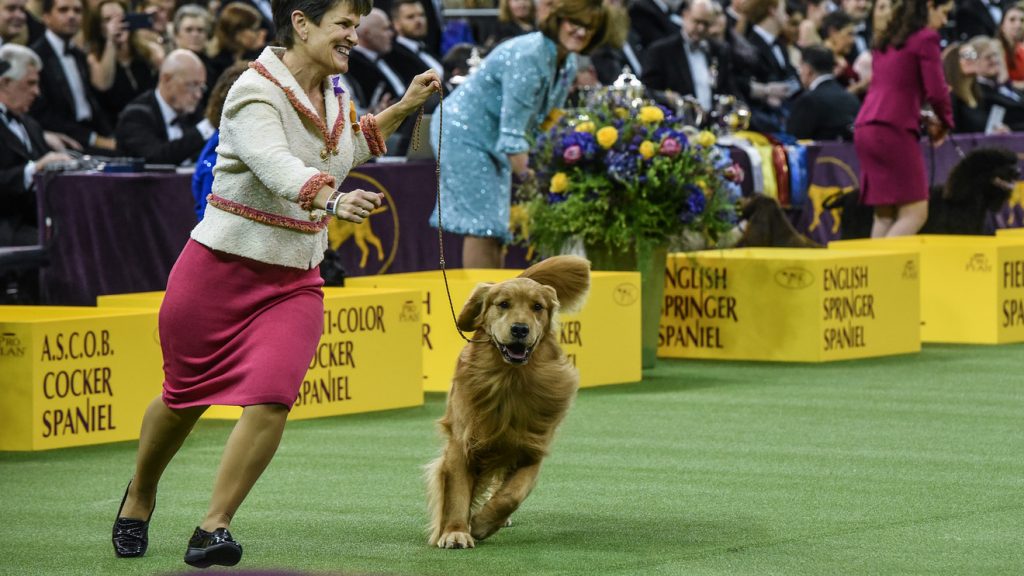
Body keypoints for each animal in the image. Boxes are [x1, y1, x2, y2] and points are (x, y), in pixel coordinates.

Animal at [423, 254, 589, 545]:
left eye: (537, 307)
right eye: (503, 304)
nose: (520, 329)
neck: (510, 380)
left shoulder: (532, 446)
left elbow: (512, 494)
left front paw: (482, 523)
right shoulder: (462, 440)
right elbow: (457, 492)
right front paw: (455, 532)